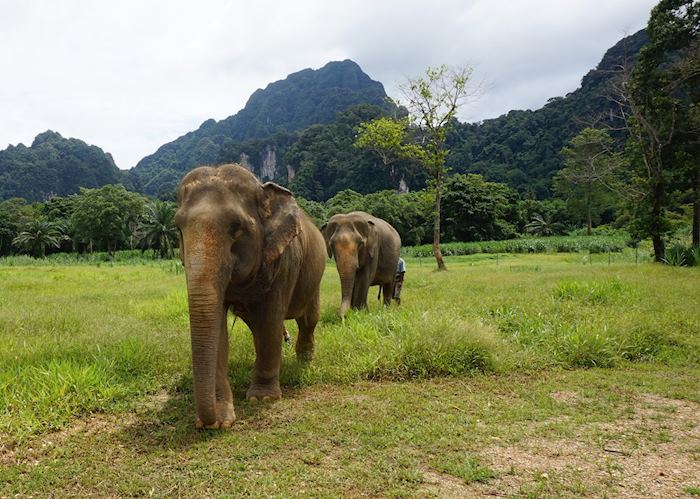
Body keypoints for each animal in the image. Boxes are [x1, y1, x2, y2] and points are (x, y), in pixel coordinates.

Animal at [176, 163, 326, 429]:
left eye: (236, 228)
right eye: (178, 228)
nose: (206, 423)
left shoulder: (286, 260)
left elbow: (270, 322)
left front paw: (262, 399)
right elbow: (219, 330)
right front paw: (221, 421)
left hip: (314, 277)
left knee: (308, 320)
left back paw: (304, 362)